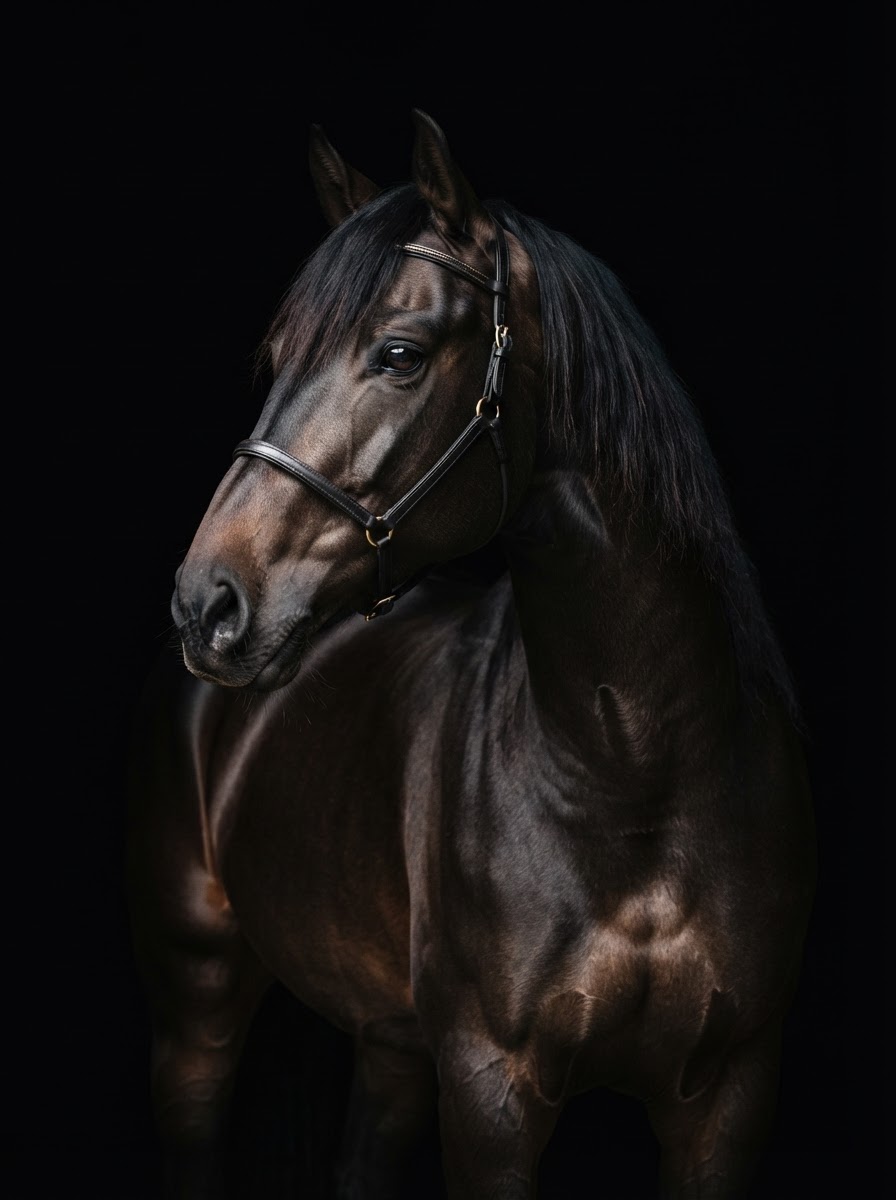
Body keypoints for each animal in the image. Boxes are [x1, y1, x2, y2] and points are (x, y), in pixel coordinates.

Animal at [126, 109, 817, 1199]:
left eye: (400, 353)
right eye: (276, 356)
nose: (208, 604)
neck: (639, 772)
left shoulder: (728, 1097)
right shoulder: (494, 1093)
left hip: (392, 1047)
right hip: (197, 1005)